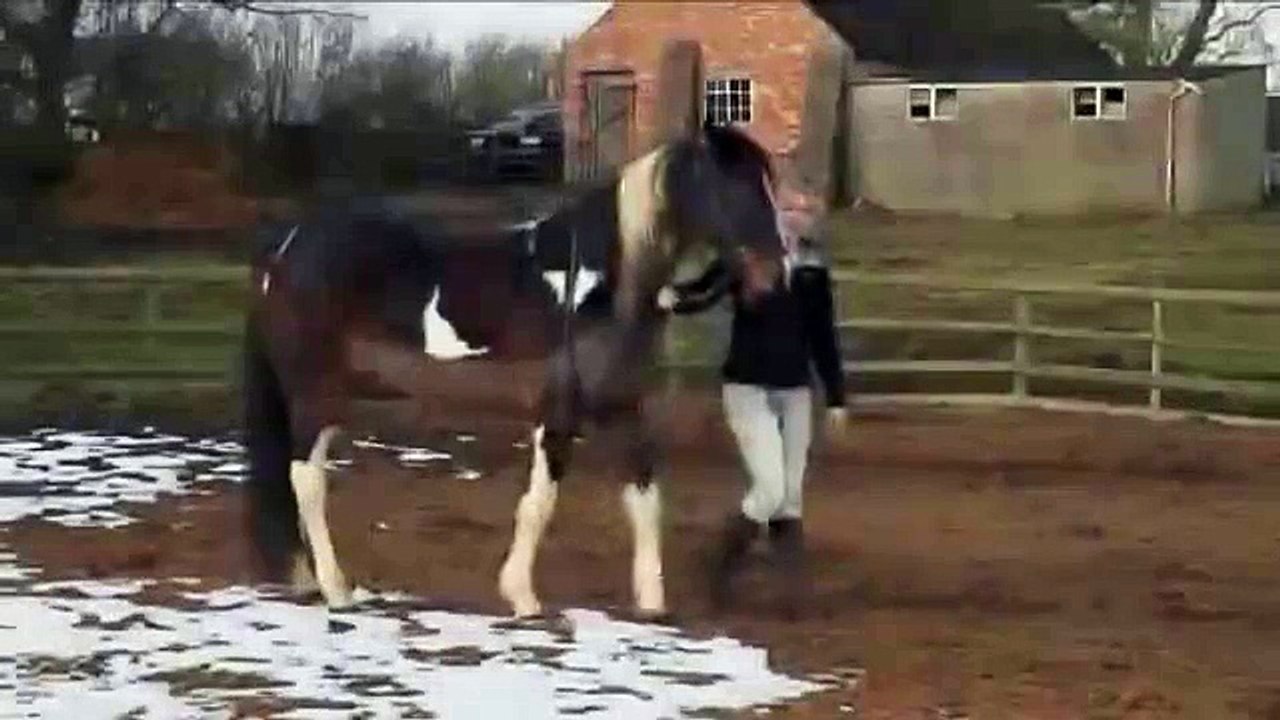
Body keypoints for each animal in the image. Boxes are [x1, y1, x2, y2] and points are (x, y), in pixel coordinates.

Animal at [241, 124, 786, 621]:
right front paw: (523, 599)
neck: (591, 284)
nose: (773, 276)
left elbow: (645, 501)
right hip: (314, 395)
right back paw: (336, 589)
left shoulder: (623, 409)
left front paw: (653, 605)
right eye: (733, 187)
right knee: (306, 480)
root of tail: (288, 245)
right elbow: (539, 504)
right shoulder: (557, 415)